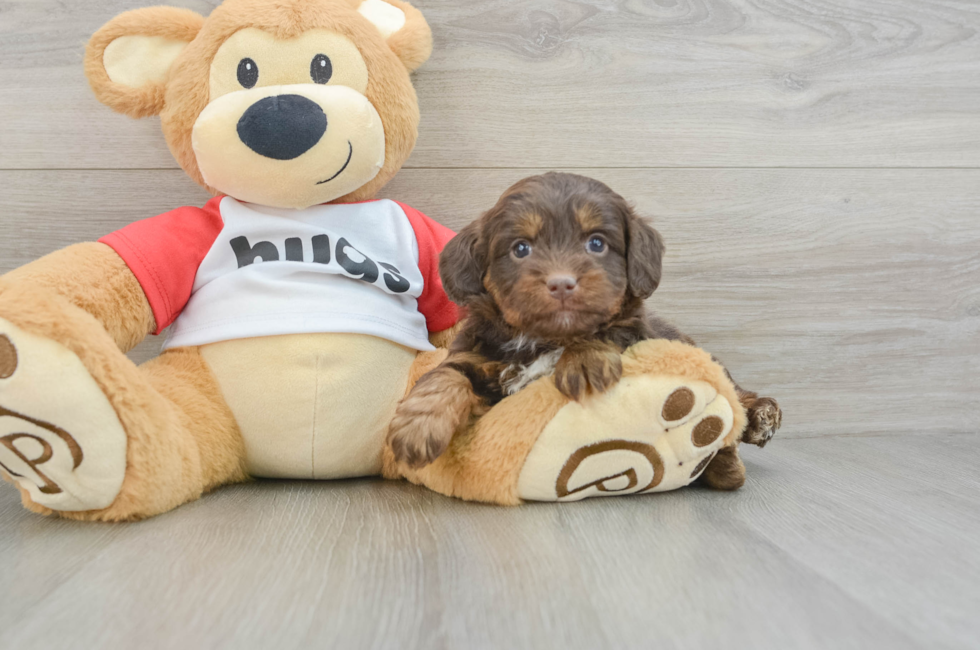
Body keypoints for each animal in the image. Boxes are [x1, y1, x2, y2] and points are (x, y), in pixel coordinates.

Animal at [390, 172, 780, 486]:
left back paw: (758, 419)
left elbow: (603, 331)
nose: (561, 283)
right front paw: (417, 427)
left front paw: (583, 360)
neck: (545, 339)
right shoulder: (477, 353)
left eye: (596, 243)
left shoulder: (633, 331)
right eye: (521, 248)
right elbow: (444, 375)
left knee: (732, 391)